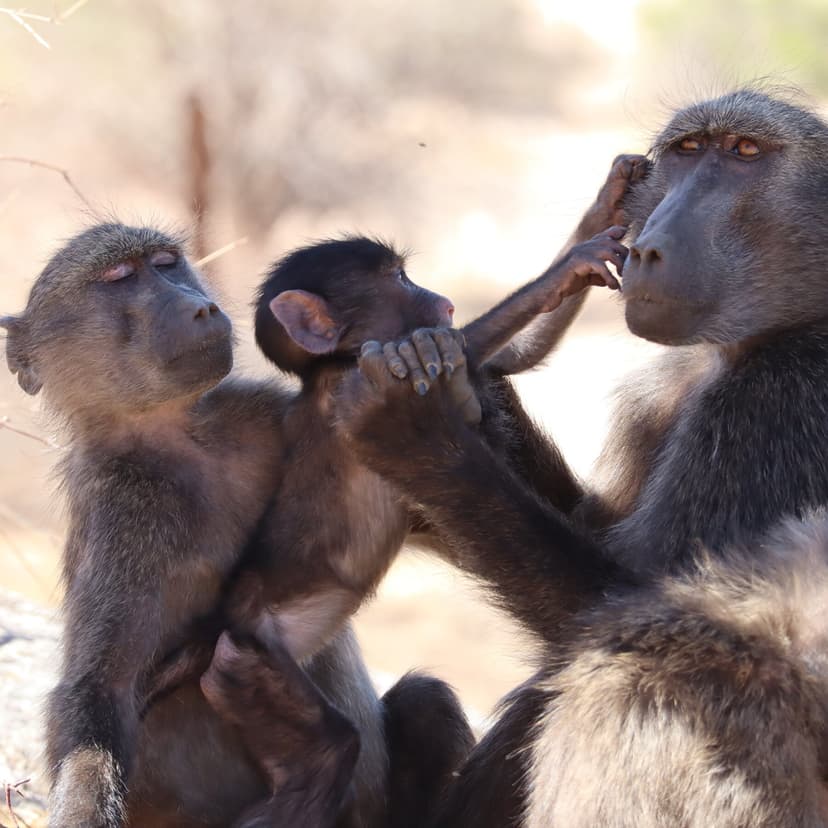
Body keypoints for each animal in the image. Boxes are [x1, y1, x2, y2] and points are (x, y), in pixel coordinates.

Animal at [335, 88, 828, 826]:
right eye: (687, 151)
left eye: (746, 153)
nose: (648, 247)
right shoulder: (659, 396)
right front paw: (466, 382)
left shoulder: (781, 402)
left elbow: (629, 618)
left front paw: (421, 432)